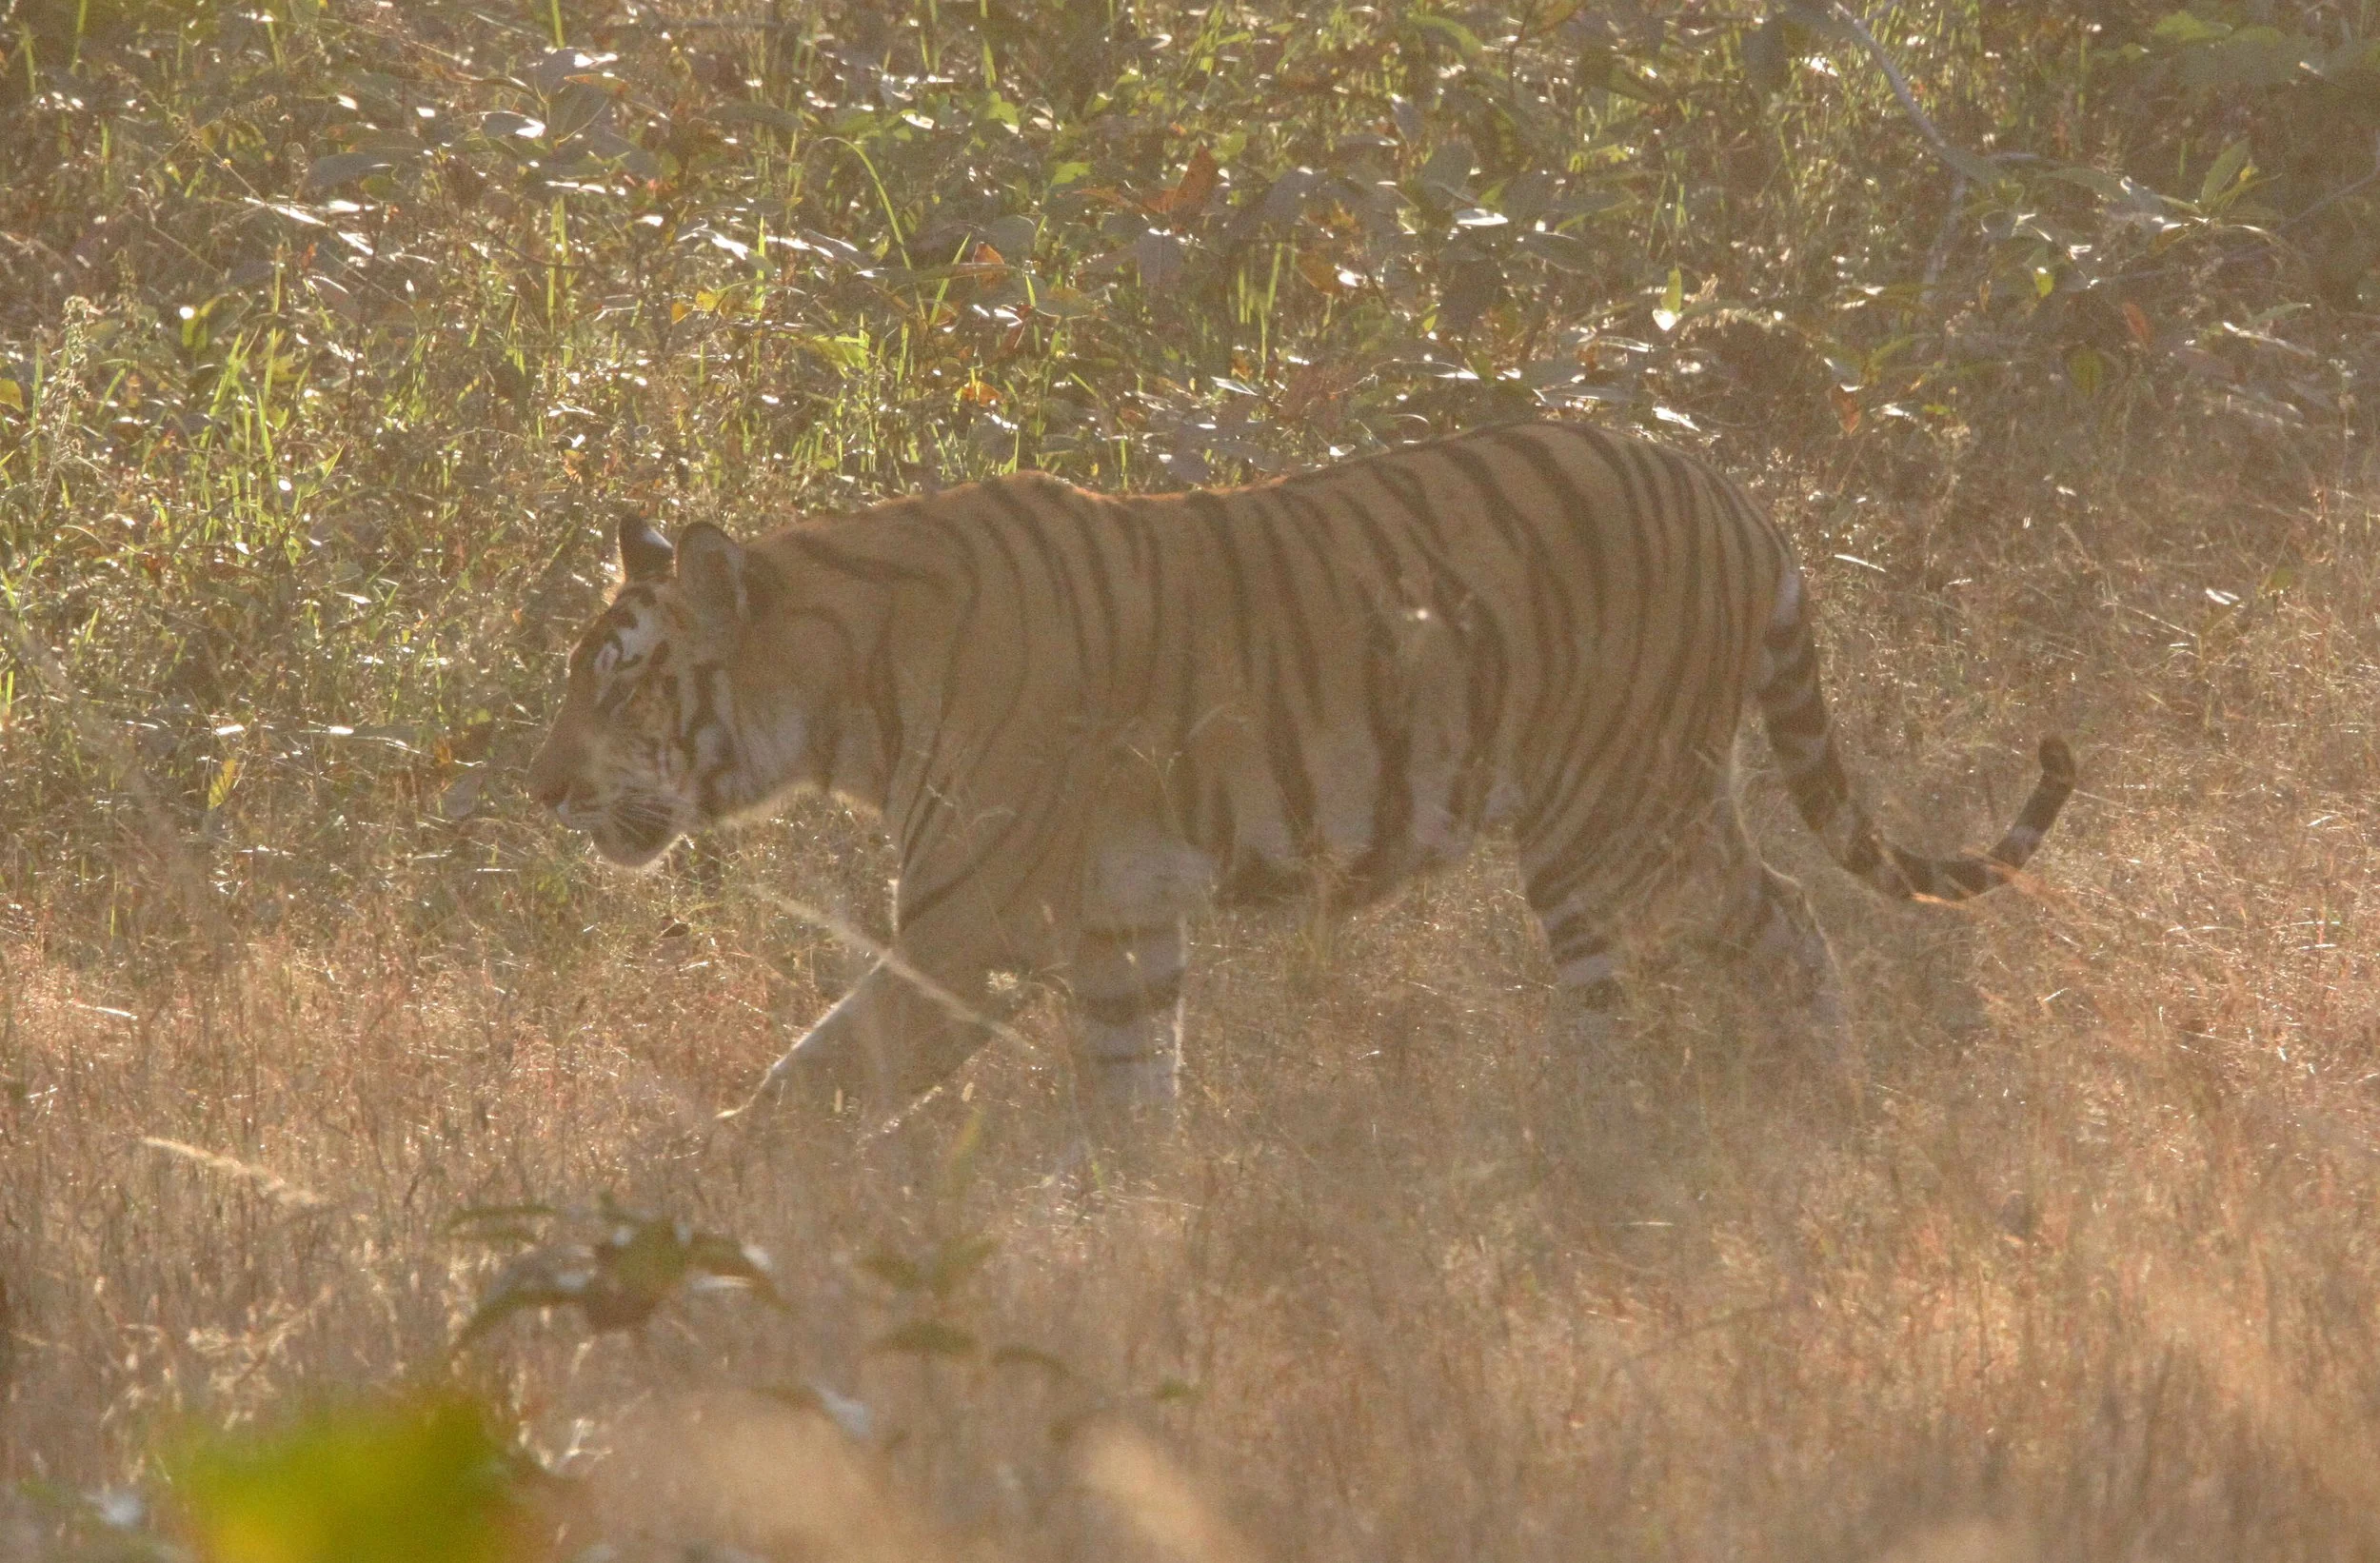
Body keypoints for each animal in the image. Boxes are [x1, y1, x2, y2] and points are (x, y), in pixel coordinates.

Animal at [525, 420, 2073, 1128]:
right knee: (1765, 936)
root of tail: (1741, 498)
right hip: (1652, 816)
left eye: (617, 679)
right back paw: (1785, 1117)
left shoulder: (972, 927)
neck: (837, 686)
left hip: (1610, 822)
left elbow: (823, 1074)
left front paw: (699, 1206)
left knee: (1757, 940)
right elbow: (1132, 1097)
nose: (541, 791)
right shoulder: (1122, 922)